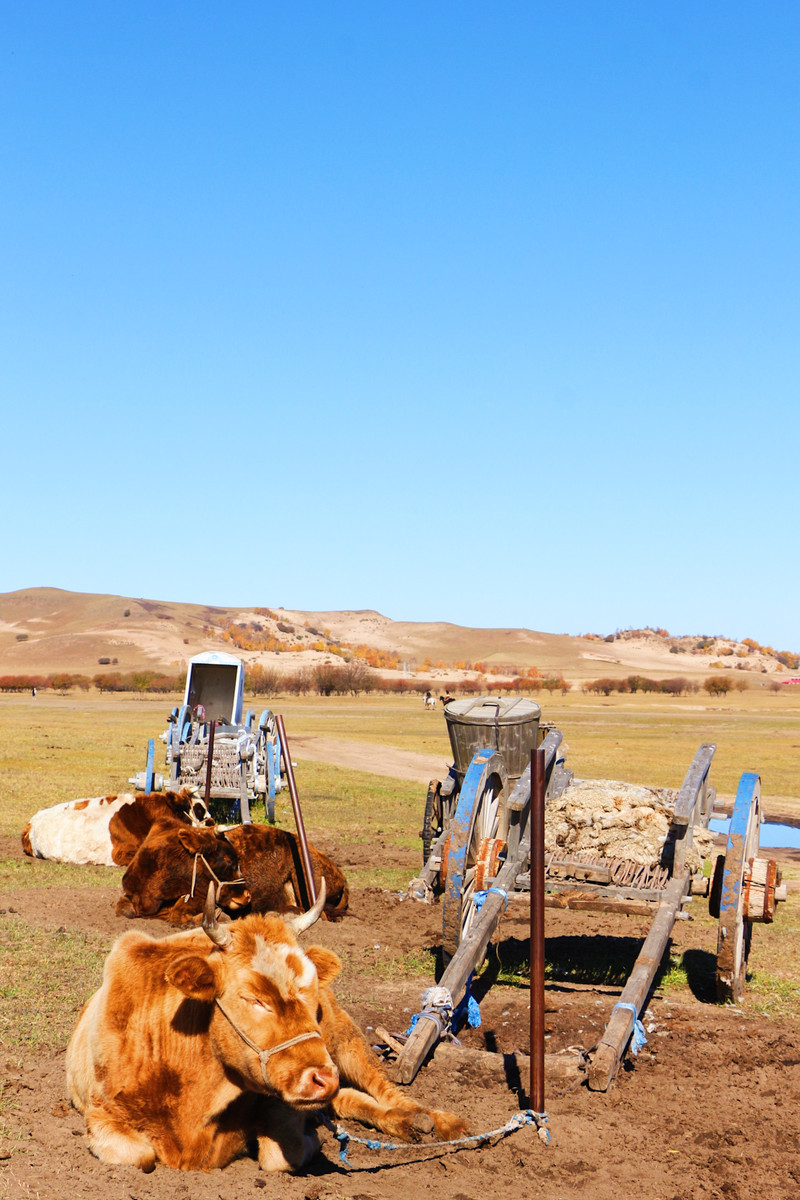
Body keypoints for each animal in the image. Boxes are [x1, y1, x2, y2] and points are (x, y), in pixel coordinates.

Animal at [70, 883, 470, 1171]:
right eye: (253, 998)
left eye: (308, 987)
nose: (322, 1077)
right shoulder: (101, 1113)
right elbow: (137, 1155)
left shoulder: (285, 1104)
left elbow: (280, 1154)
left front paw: (313, 1141)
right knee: (348, 1099)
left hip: (345, 1042)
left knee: (383, 1089)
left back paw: (438, 1122)